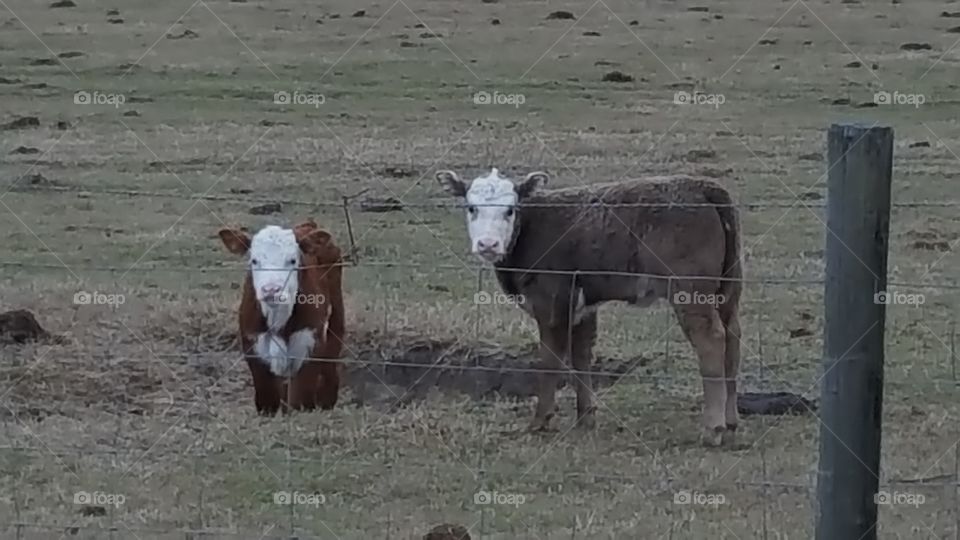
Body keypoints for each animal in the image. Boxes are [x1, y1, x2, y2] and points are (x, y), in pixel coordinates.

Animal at [217, 219, 345, 415]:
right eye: (254, 260)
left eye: (292, 260)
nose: (271, 290)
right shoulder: (254, 348)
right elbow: (268, 403)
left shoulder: (309, 345)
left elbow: (300, 401)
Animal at [437, 168, 742, 447]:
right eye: (472, 208)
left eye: (510, 210)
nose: (487, 244)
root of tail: (703, 186)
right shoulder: (582, 308)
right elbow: (581, 357)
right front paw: (586, 416)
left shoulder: (551, 303)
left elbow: (550, 361)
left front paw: (541, 420)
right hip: (728, 290)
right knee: (732, 338)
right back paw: (730, 421)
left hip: (689, 292)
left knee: (711, 339)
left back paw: (713, 428)